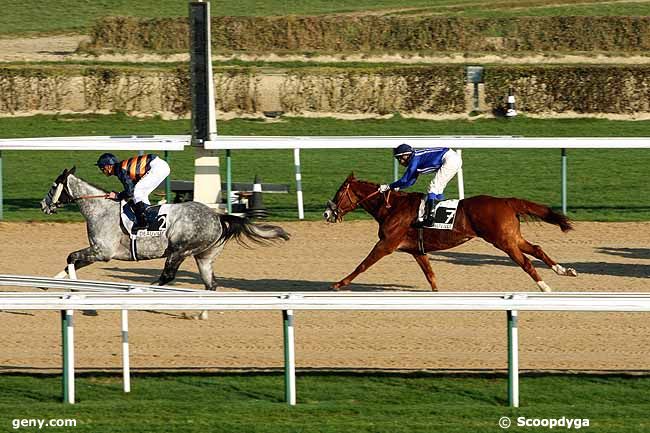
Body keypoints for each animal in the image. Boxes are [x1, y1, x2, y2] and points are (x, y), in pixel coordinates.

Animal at [41, 167, 290, 288]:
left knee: (168, 276)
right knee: (210, 283)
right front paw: (46, 286)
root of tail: (218, 217)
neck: (101, 209)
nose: (43, 205)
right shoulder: (96, 251)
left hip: (179, 250)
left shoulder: (103, 252)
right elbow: (72, 261)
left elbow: (71, 257)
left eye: (53, 186)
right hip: (204, 256)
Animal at [324, 174, 576, 292]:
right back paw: (565, 271)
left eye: (339, 193)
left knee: (525, 261)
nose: (327, 213)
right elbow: (430, 274)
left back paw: (544, 286)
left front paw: (338, 284)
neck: (391, 207)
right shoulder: (417, 250)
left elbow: (362, 265)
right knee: (536, 249)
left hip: (503, 241)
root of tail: (506, 201)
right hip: (512, 237)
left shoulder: (386, 244)